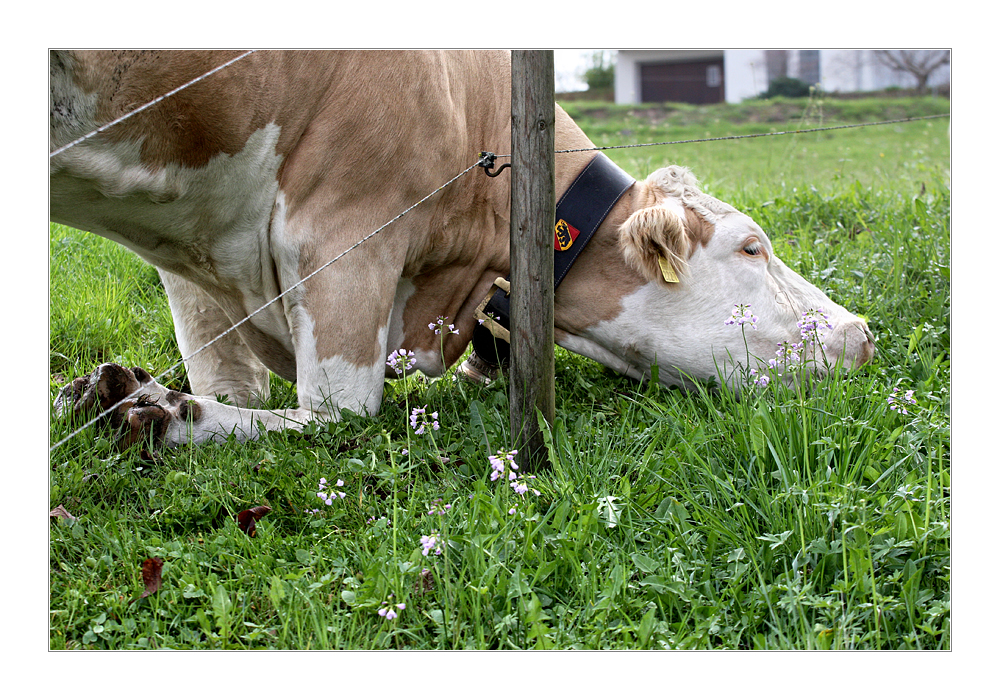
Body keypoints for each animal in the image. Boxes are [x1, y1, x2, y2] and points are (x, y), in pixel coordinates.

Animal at [48, 53, 876, 448]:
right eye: (751, 247)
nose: (863, 334)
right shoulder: (343, 232)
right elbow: (336, 416)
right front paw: (159, 414)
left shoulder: (192, 243)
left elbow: (231, 380)